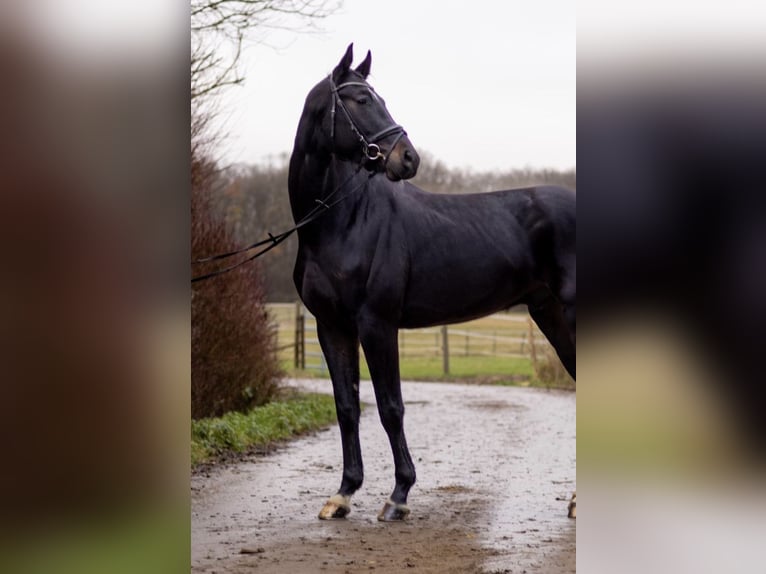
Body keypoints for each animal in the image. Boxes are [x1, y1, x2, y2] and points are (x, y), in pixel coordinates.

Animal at [292, 45, 580, 520]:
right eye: (361, 100)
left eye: (378, 97)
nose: (408, 157)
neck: (341, 222)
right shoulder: (331, 326)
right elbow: (347, 406)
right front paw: (344, 493)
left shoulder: (377, 323)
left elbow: (390, 408)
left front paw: (399, 496)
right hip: (551, 314)